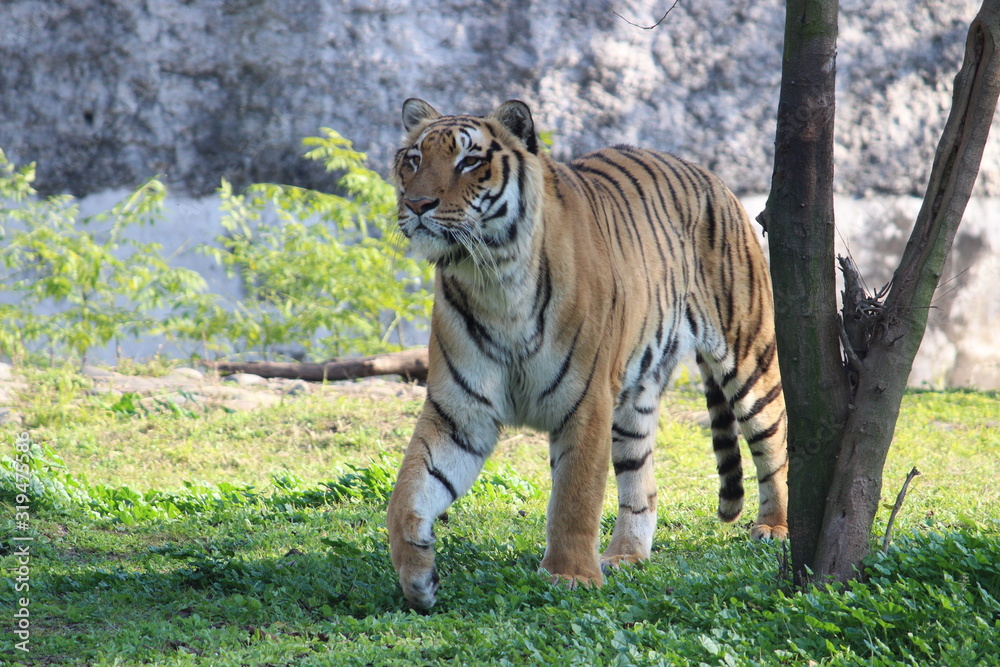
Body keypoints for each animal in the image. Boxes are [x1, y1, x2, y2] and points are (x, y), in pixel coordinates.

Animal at [386, 98, 788, 610]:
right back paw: (625, 555)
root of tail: (708, 174)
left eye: (469, 161)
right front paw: (417, 577)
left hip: (748, 353)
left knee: (774, 440)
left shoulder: (586, 400)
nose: (417, 205)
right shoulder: (459, 411)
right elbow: (409, 490)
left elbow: (575, 495)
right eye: (414, 159)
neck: (492, 278)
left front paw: (570, 576)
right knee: (642, 483)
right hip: (636, 397)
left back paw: (774, 528)